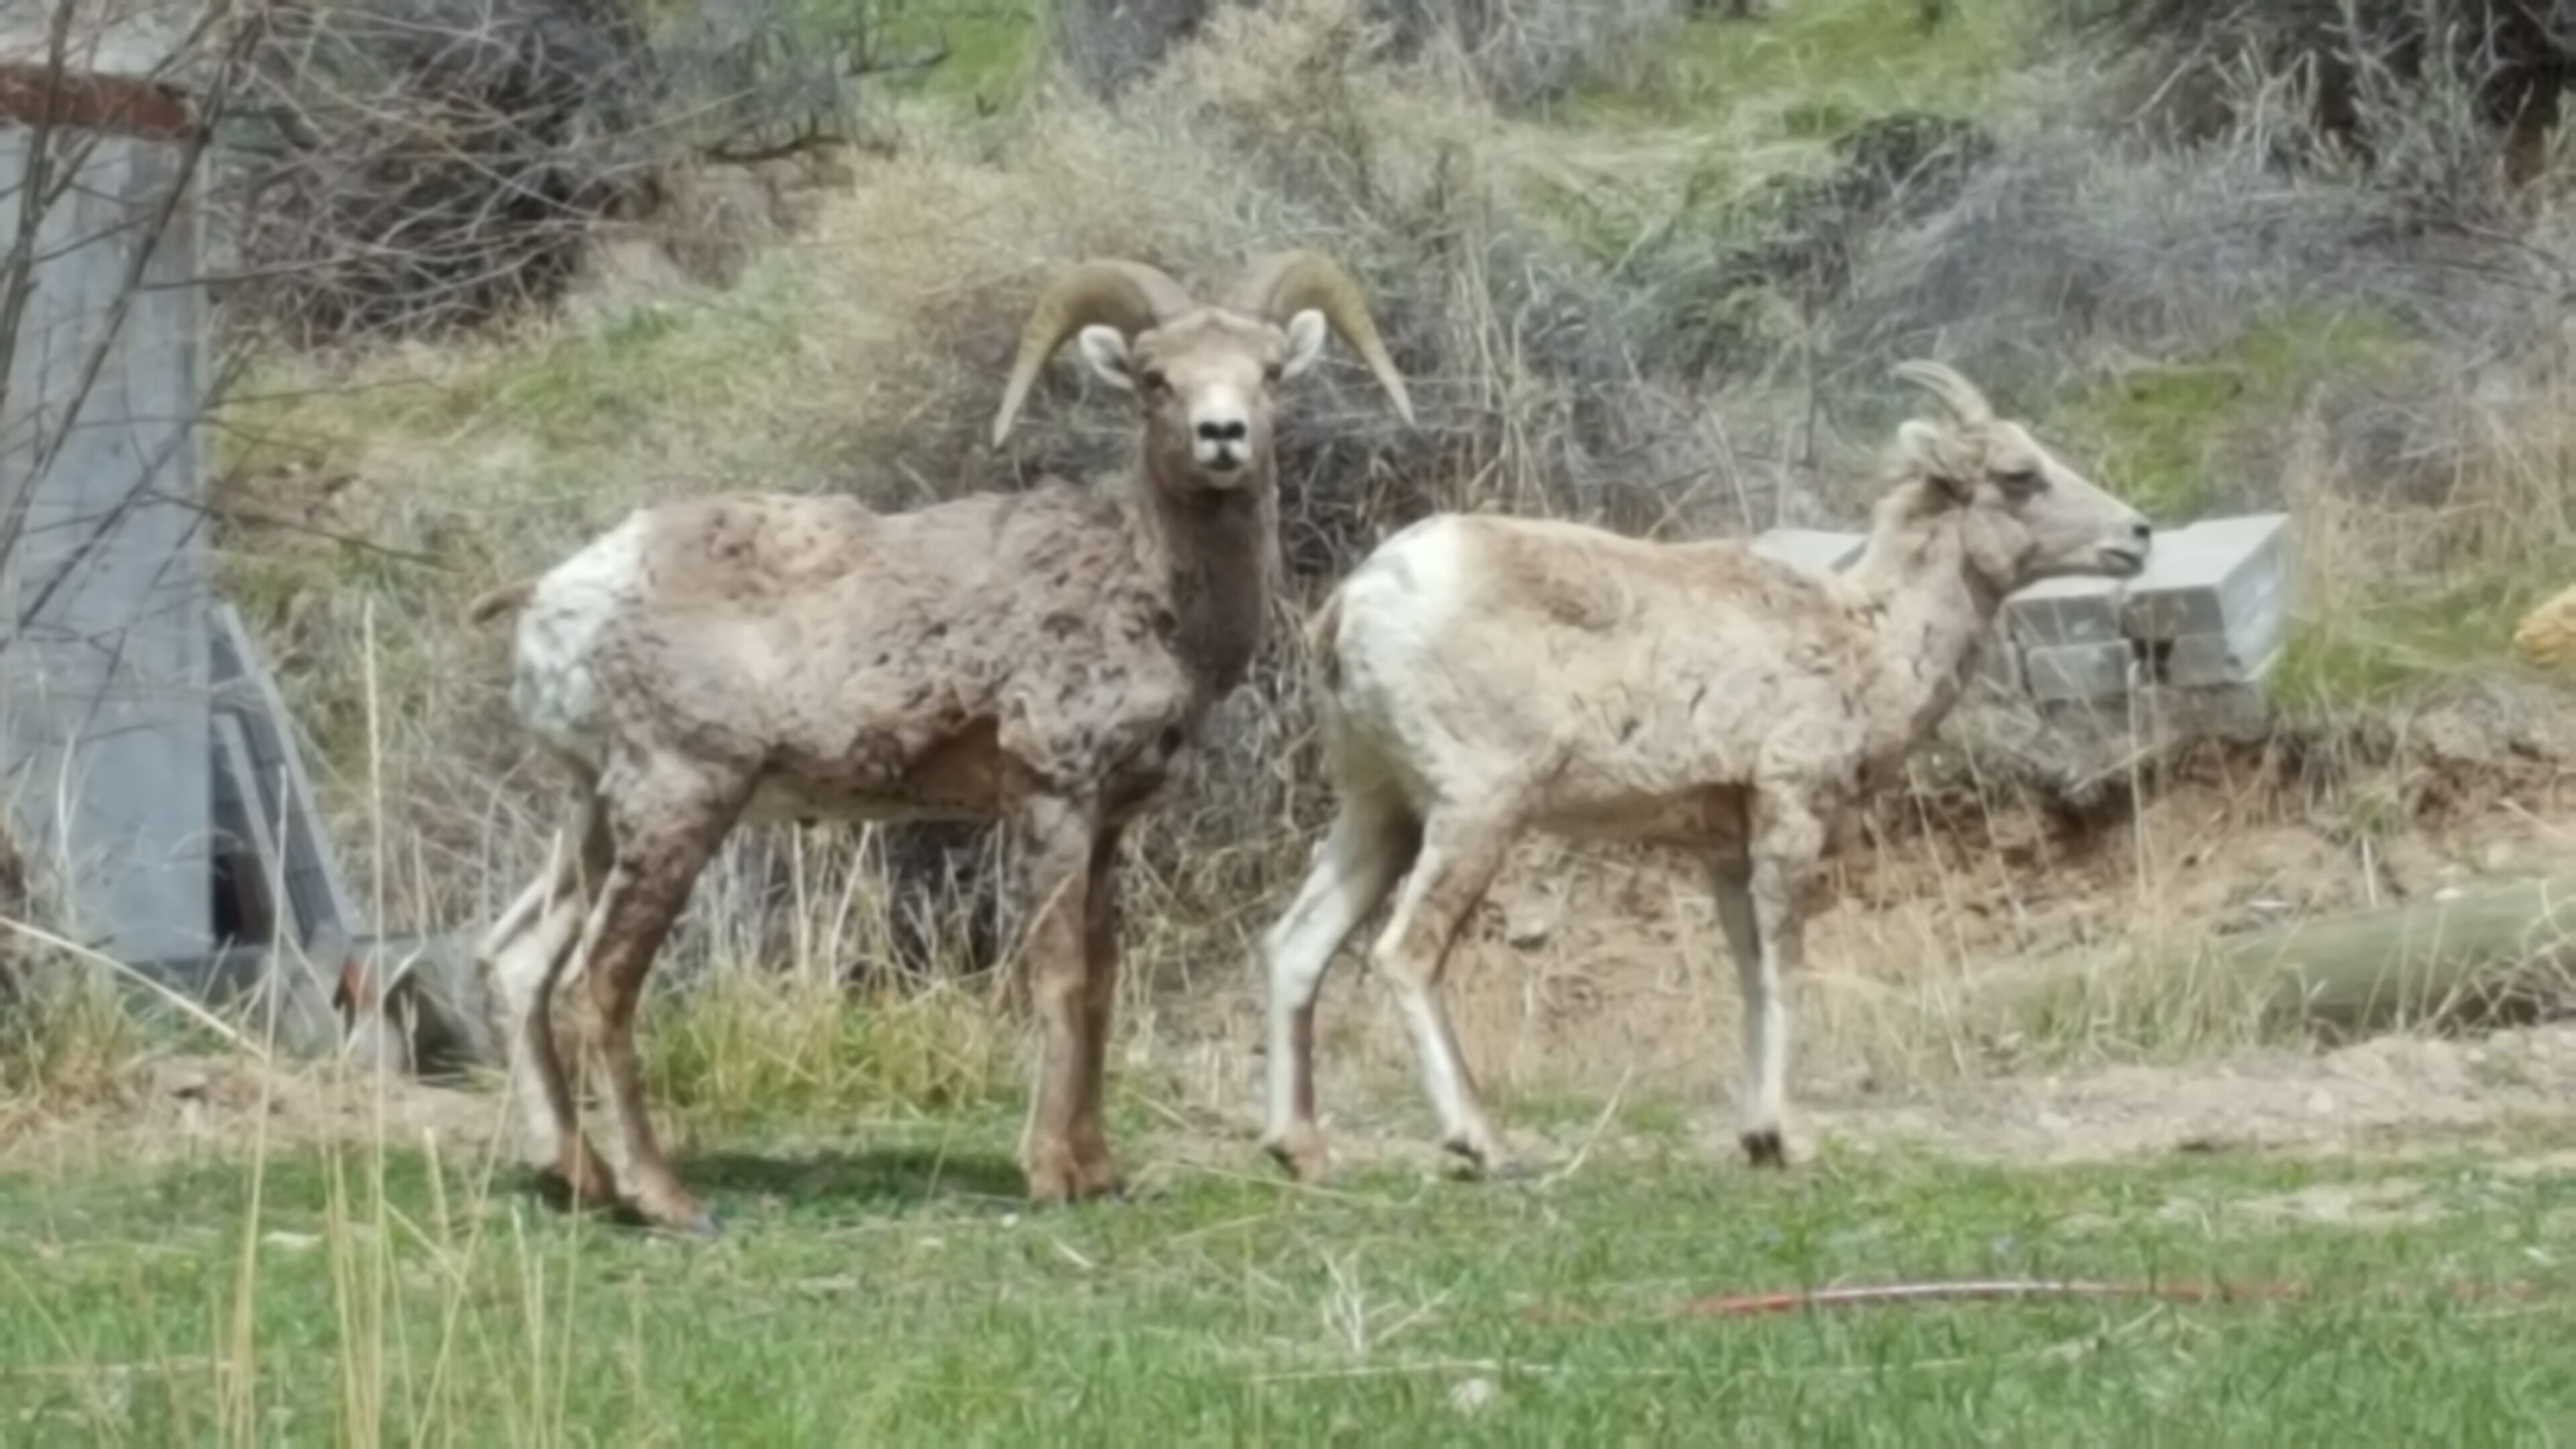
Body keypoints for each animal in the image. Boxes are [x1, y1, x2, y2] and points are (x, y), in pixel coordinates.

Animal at [471, 251, 1414, 1232]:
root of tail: (559, 599)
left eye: (1269, 373)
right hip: (679, 804)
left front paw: (1100, 1171)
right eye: (1157, 379)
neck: (1151, 594)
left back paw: (573, 1176)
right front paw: (1050, 1174)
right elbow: (1058, 979)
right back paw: (665, 1198)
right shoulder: (1052, 800)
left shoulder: (1109, 826)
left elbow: (1103, 985)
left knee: (519, 961)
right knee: (601, 981)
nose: (1222, 436)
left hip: (594, 816)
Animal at [1256, 361, 2152, 1183]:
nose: (2139, 535)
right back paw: (1481, 1143)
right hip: (1475, 812)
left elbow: (1750, 974)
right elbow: (1784, 969)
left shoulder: (1724, 849)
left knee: (1297, 945)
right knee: (1406, 952)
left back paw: (1299, 1148)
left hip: (1381, 811)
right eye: (2019, 475)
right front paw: (1784, 1139)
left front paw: (1756, 1137)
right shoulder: (1791, 813)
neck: (1869, 636)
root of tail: (1355, 602)